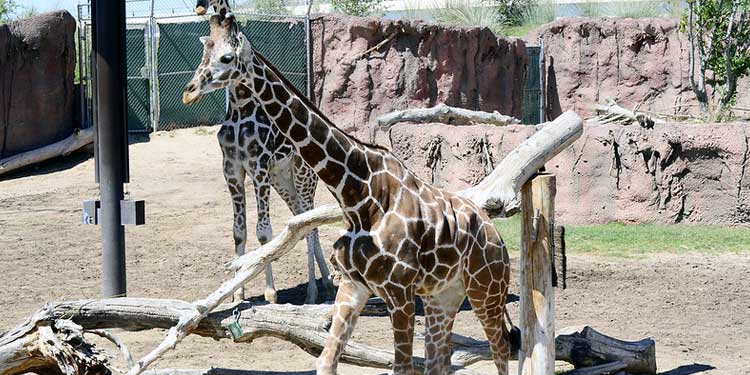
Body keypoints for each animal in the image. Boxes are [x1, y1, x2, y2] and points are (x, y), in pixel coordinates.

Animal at [182, 6, 334, 306]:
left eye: (226, 57)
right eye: (204, 54)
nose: (188, 93)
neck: (241, 108)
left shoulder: (259, 168)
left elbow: (264, 233)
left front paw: (270, 293)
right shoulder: (232, 169)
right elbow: (238, 231)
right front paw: (236, 293)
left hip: (303, 177)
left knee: (309, 224)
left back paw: (313, 292)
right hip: (283, 180)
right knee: (303, 222)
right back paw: (326, 281)